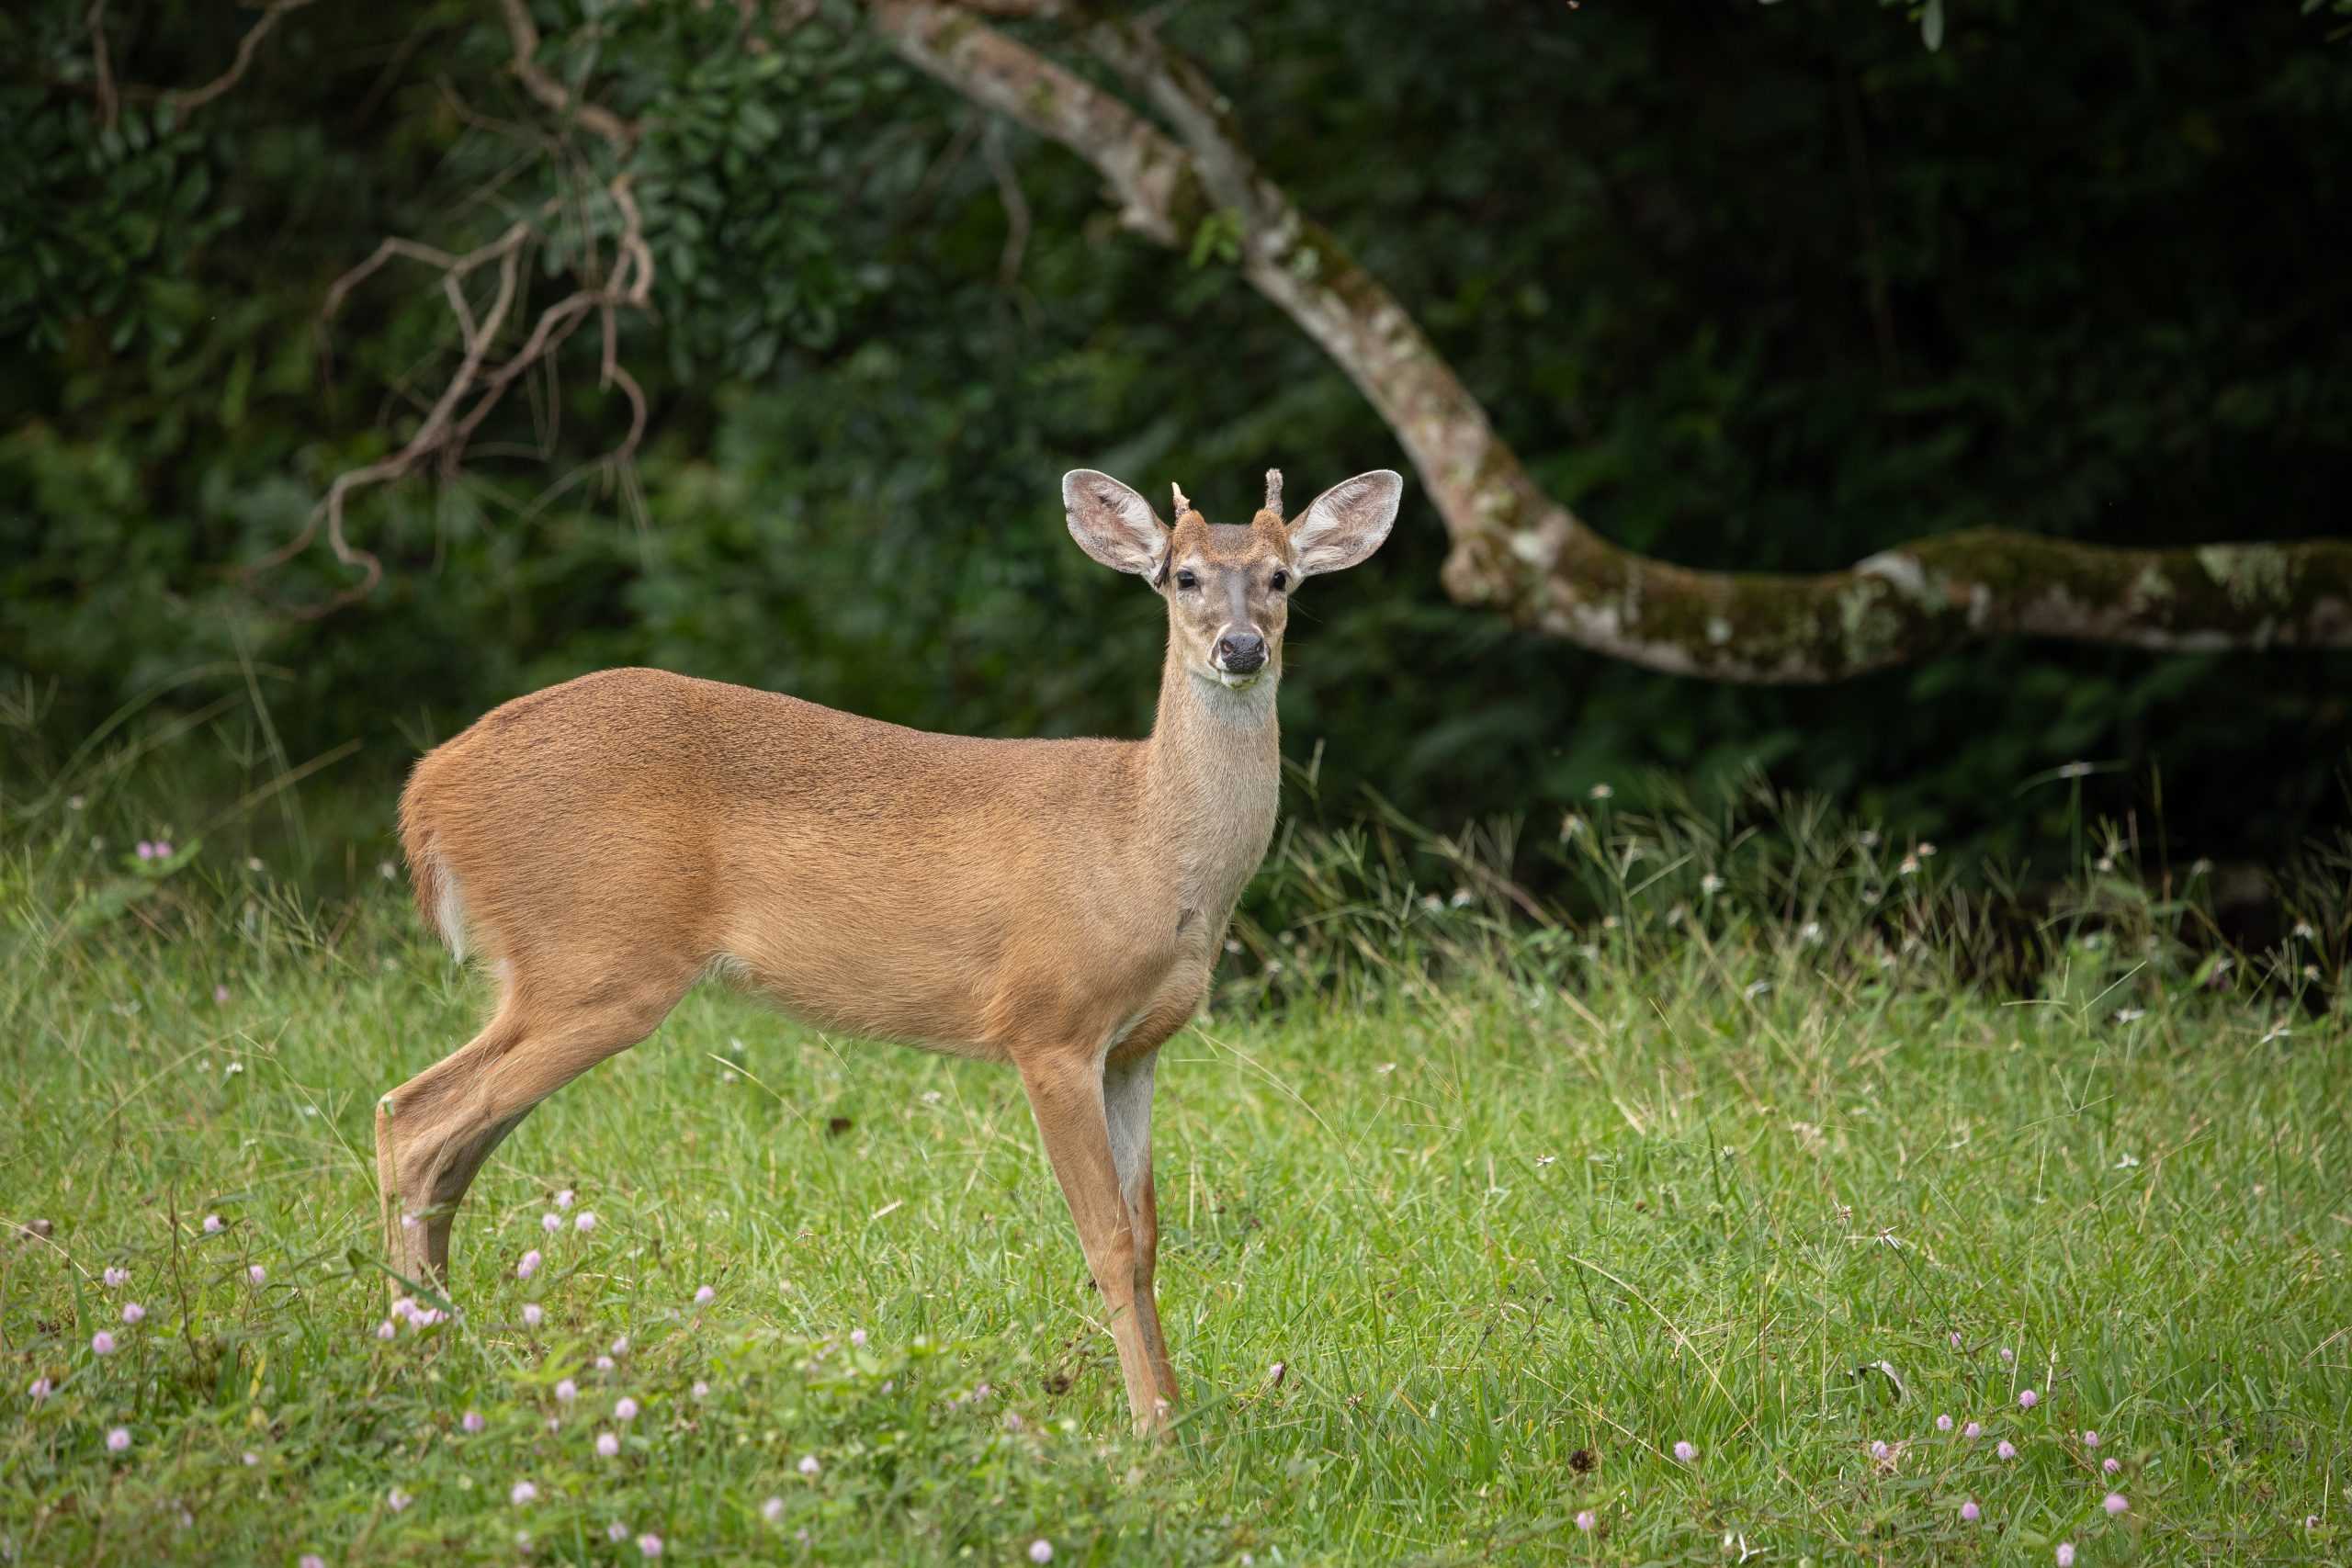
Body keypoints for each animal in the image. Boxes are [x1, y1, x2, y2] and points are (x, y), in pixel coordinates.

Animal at [371, 463, 1392, 1438]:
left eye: (1282, 577)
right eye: (1180, 576)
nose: (1241, 648)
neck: (1147, 844)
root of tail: (427, 788)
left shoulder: (1136, 1047)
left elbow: (1144, 1238)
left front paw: (1179, 1412)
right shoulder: (1048, 1022)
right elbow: (1101, 1234)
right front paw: (1150, 1438)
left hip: (559, 970)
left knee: (454, 1148)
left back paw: (447, 1354)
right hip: (593, 960)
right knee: (412, 1119)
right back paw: (416, 1366)